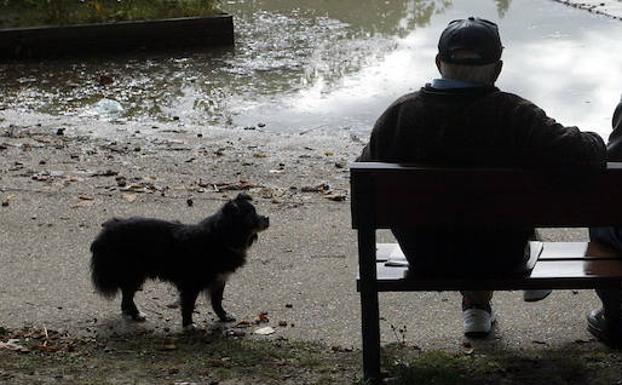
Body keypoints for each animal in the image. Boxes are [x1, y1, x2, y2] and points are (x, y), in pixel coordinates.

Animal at [91, 192, 270, 328]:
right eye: (251, 215)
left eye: (256, 211)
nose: (267, 217)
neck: (221, 237)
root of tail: (107, 231)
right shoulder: (192, 283)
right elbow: (189, 304)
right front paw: (189, 325)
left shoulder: (219, 280)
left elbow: (217, 302)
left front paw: (224, 317)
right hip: (134, 273)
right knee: (127, 296)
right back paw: (136, 314)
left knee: (126, 298)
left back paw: (134, 315)